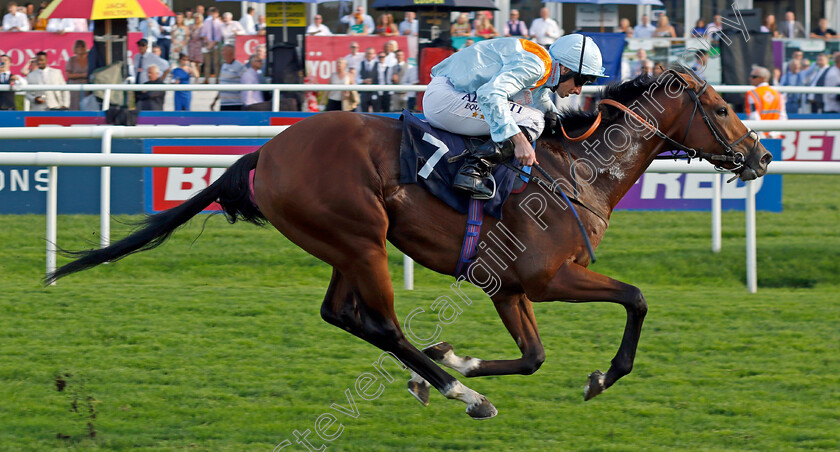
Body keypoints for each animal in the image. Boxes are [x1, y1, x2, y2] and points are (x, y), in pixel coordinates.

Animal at [44, 68, 768, 420]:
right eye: (723, 109)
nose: (760, 156)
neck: (575, 169)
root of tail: (264, 153)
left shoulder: (507, 286)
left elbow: (533, 356)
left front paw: (459, 357)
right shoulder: (545, 277)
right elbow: (637, 297)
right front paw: (601, 375)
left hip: (345, 244)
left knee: (343, 315)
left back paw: (441, 377)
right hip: (361, 239)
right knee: (383, 324)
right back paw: (460, 396)